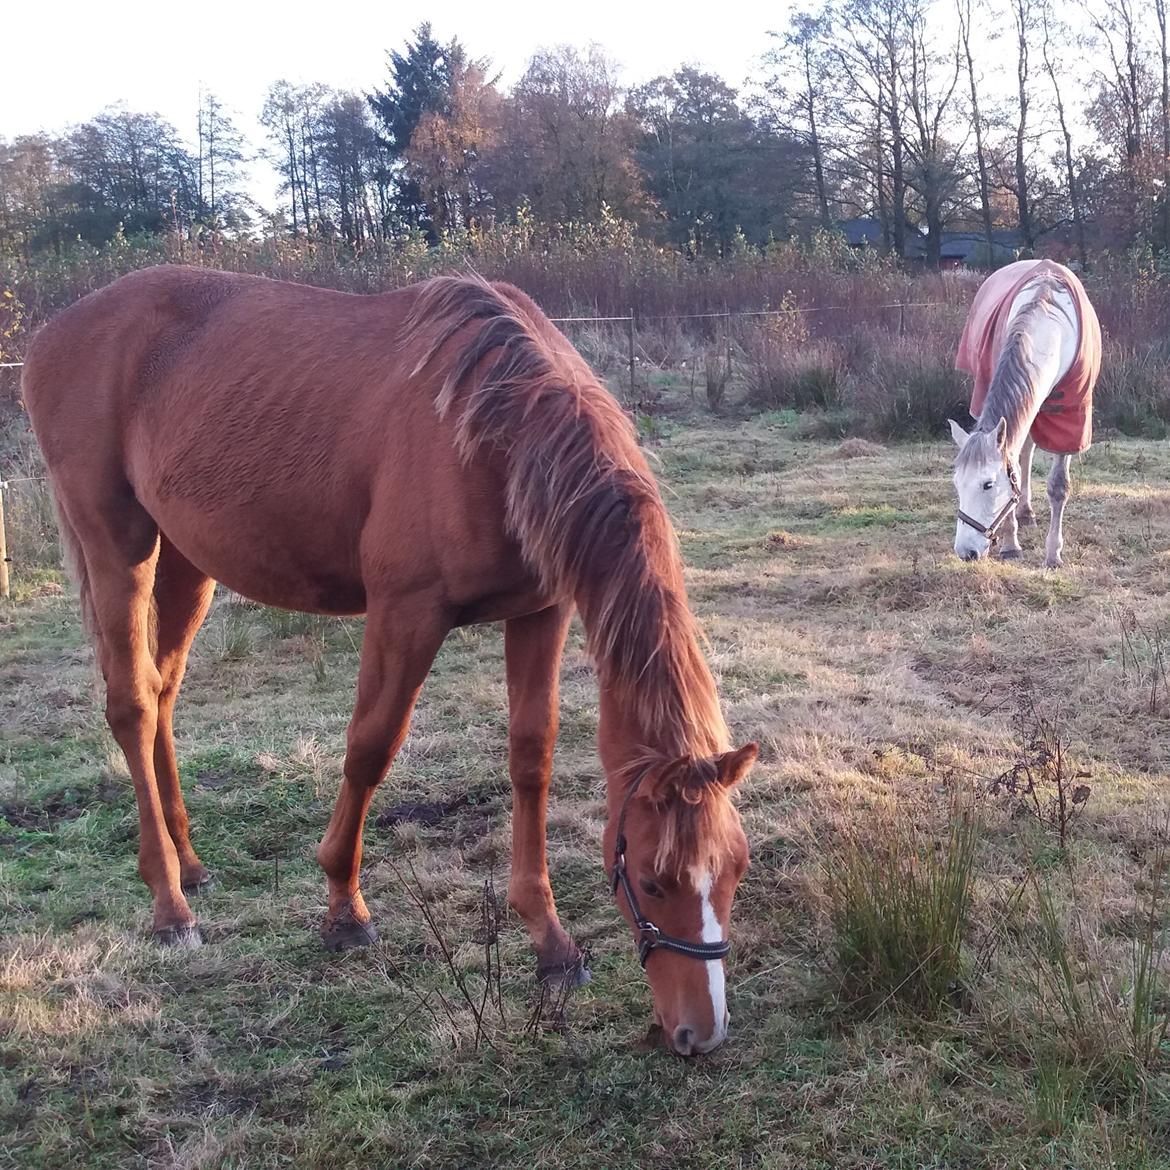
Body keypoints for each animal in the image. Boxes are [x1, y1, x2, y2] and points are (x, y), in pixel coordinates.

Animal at [22, 267, 753, 1062]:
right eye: (652, 881)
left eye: (735, 870)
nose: (702, 1031)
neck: (493, 429)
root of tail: (53, 336)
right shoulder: (406, 613)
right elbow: (371, 747)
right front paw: (345, 910)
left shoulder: (541, 611)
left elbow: (532, 757)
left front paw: (551, 941)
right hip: (117, 542)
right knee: (131, 702)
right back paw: (170, 905)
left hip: (186, 563)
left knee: (163, 693)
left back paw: (189, 863)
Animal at [945, 266, 1099, 575]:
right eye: (956, 483)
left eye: (988, 484)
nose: (966, 552)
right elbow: (1014, 463)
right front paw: (1010, 545)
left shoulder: (1070, 421)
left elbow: (1058, 487)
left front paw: (1053, 554)